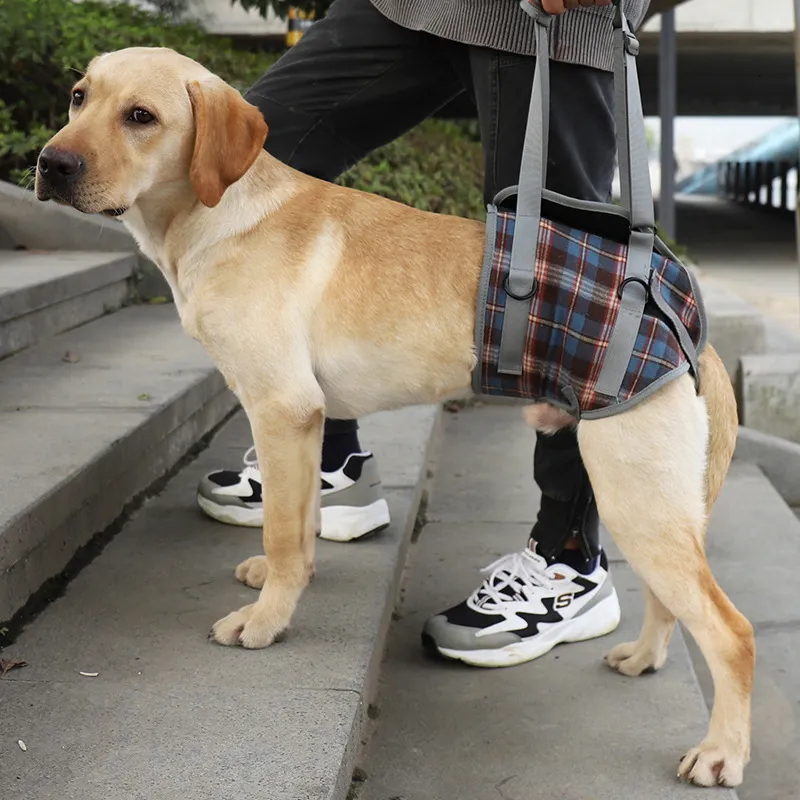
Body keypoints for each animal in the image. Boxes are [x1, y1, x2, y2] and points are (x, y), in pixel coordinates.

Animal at [34, 48, 752, 788]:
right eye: (79, 97)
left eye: (141, 116)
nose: (49, 164)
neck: (218, 214)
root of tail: (696, 342)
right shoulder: (306, 420)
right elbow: (298, 527)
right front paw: (283, 585)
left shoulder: (281, 408)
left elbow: (284, 534)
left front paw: (266, 621)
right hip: (652, 502)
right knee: (674, 604)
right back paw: (644, 658)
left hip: (634, 496)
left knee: (732, 632)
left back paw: (722, 751)